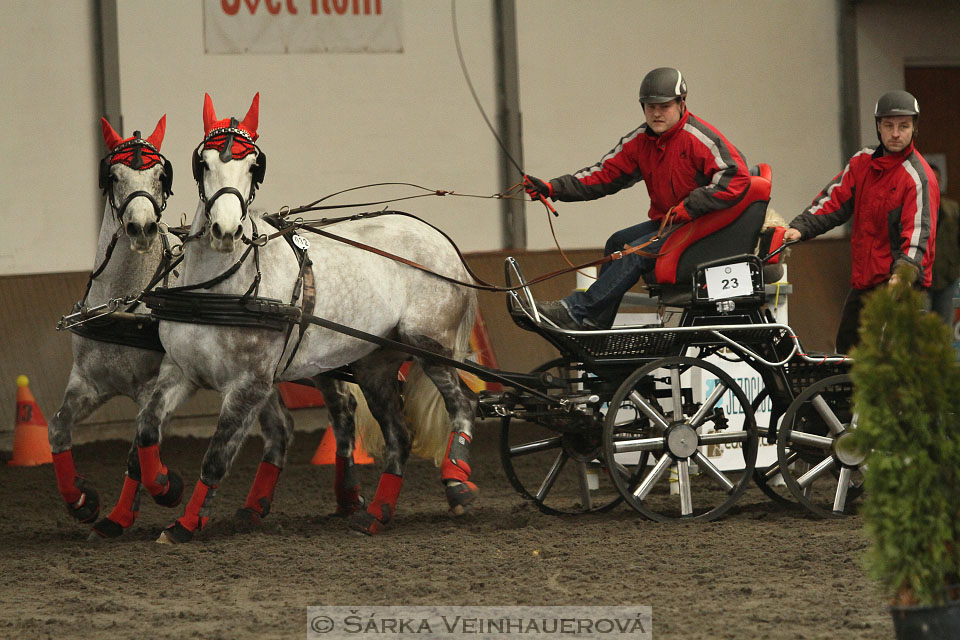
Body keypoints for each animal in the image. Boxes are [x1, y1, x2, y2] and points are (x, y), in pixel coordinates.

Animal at [133, 95, 478, 544]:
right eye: (203, 163)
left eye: (253, 166)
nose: (225, 231)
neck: (222, 289)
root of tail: (444, 242)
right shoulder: (181, 371)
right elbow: (147, 427)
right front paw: (164, 487)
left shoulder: (249, 385)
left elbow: (216, 458)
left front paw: (185, 524)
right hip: (376, 364)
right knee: (399, 436)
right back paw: (376, 514)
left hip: (430, 346)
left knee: (463, 405)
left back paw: (457, 481)